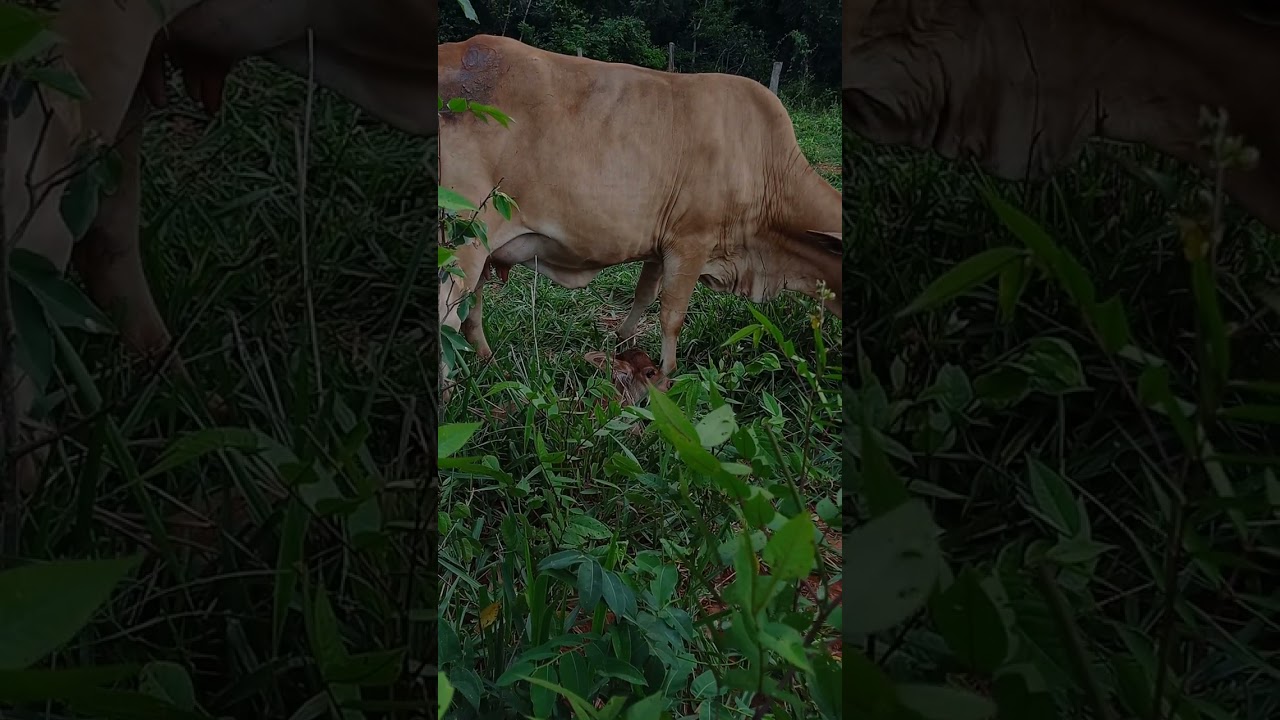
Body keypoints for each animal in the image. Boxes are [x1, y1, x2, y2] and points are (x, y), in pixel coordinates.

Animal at [437, 34, 843, 397]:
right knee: (448, 315)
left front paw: (622, 340)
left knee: (471, 310)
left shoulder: (660, 247)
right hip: (462, 242)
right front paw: (668, 372)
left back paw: (488, 361)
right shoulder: (692, 243)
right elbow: (672, 315)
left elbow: (645, 295)